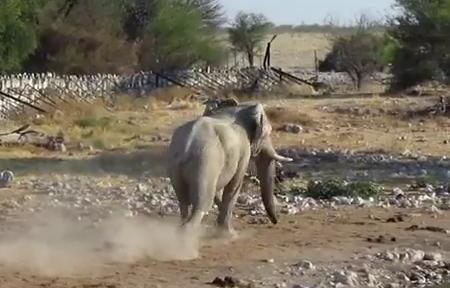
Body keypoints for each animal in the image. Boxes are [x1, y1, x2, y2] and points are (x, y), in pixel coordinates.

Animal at [166, 98, 292, 237]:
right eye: (267, 133)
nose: (276, 222)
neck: (237, 109)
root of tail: (186, 148)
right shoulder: (243, 151)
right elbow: (234, 185)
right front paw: (230, 235)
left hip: (176, 167)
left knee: (184, 202)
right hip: (205, 164)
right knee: (202, 204)